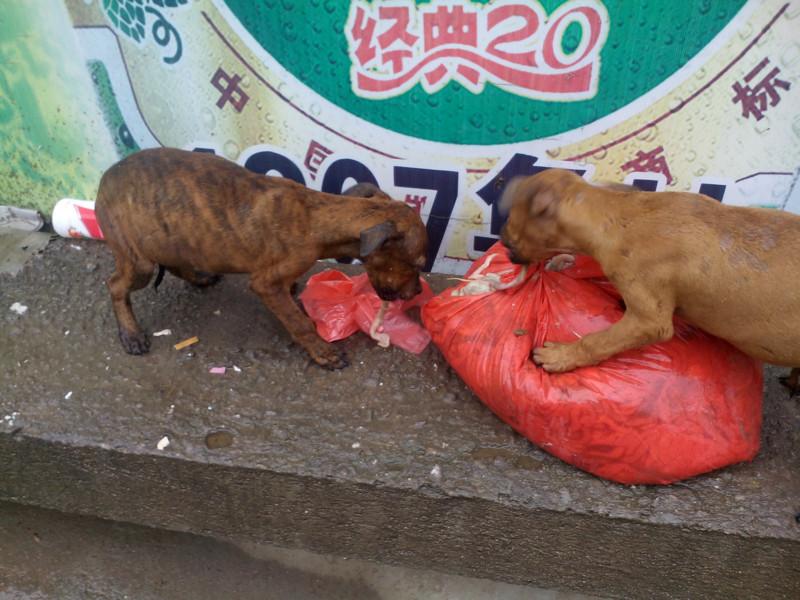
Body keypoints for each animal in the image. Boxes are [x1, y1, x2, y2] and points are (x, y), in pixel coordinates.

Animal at [96, 148, 428, 368]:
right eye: (417, 264)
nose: (418, 293)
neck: (315, 217)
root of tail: (104, 179)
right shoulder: (265, 284)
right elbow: (299, 323)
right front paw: (323, 353)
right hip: (138, 261)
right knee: (115, 285)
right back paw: (131, 334)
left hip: (169, 238)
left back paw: (200, 277)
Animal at [500, 169, 800, 390]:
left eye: (511, 216)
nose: (501, 240)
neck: (618, 219)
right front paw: (564, 261)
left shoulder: (650, 322)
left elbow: (597, 341)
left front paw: (561, 356)